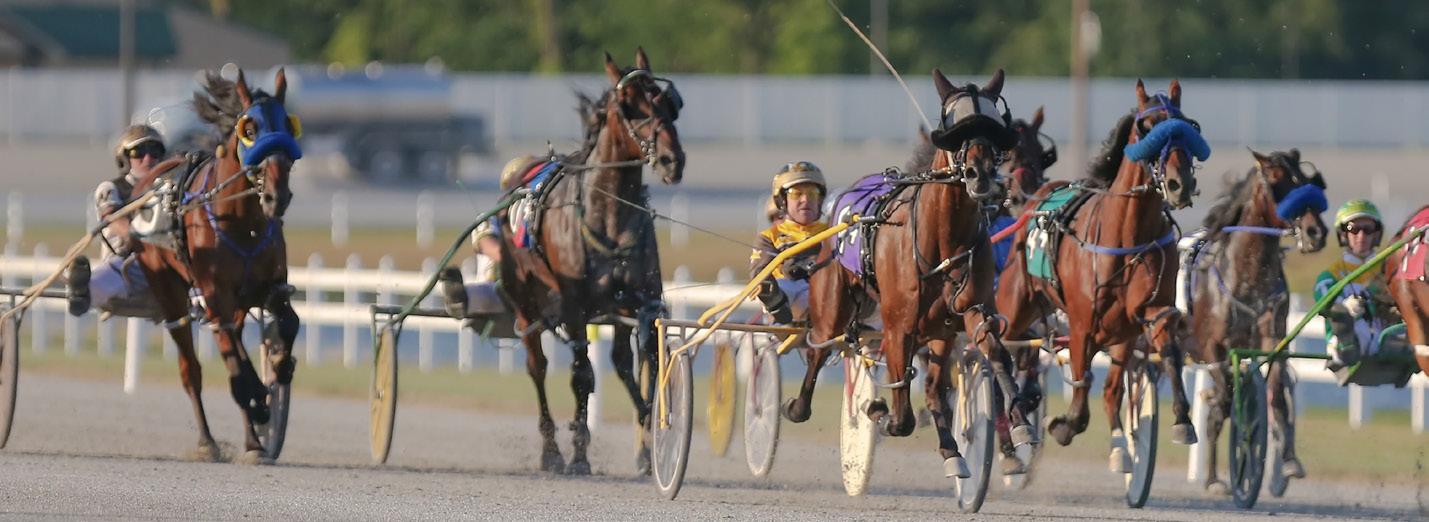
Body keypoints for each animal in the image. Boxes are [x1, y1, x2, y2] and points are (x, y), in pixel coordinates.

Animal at [131, 68, 300, 463]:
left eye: (288, 125)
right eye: (250, 128)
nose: (277, 195)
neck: (242, 222)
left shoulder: (272, 285)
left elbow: (288, 323)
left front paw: (280, 368)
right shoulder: (214, 293)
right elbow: (232, 371)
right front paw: (257, 403)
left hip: (235, 302)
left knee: (233, 341)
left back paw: (255, 431)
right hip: (169, 292)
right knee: (192, 368)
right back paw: (210, 440)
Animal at [497, 48, 684, 475]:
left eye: (668, 103)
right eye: (629, 106)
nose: (672, 160)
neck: (608, 217)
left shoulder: (639, 301)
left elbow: (641, 359)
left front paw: (649, 436)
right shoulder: (575, 306)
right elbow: (582, 375)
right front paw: (579, 454)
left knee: (617, 360)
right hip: (524, 299)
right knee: (537, 364)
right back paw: (551, 450)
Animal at [784, 69, 1034, 479]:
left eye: (993, 125)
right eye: (954, 124)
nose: (979, 175)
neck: (942, 239)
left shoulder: (970, 309)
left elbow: (995, 354)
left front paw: (1021, 422)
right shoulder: (898, 323)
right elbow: (901, 414)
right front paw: (879, 411)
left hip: (937, 332)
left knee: (932, 386)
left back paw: (951, 450)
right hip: (832, 305)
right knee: (819, 349)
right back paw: (800, 405)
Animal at [996, 80, 1205, 456]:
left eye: (1186, 125)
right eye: (1147, 127)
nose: (1180, 183)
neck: (1127, 234)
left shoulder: (1150, 313)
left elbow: (1166, 355)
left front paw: (1182, 420)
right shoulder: (1083, 324)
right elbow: (1080, 396)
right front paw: (1062, 425)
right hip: (1014, 305)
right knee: (998, 347)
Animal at [1181, 149, 1329, 492]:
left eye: (1304, 180)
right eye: (1275, 179)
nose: (1315, 232)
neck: (1246, 277)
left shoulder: (1272, 337)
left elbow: (1276, 395)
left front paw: (1288, 462)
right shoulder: (1211, 347)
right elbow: (1223, 403)